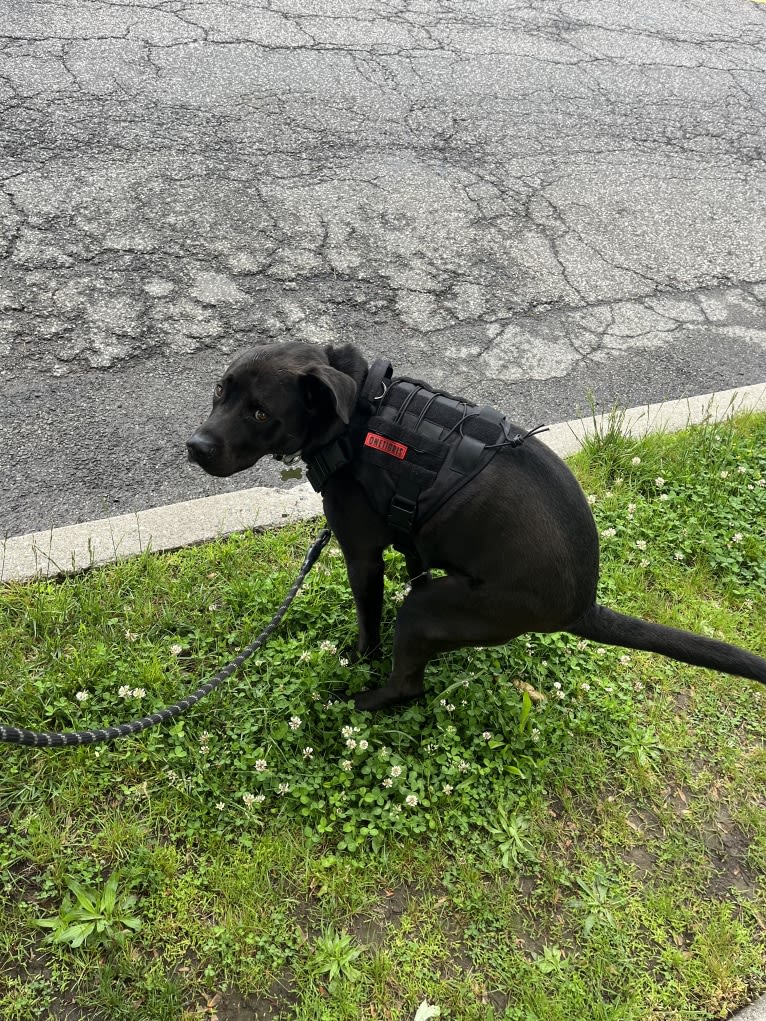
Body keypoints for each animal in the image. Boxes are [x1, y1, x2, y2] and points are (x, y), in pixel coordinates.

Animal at [187, 343, 766, 710]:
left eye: (261, 413)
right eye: (218, 390)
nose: (195, 446)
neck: (358, 417)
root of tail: (582, 605)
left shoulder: (363, 559)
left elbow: (368, 626)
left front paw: (356, 659)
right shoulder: (411, 552)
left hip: (434, 610)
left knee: (408, 686)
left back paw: (360, 701)